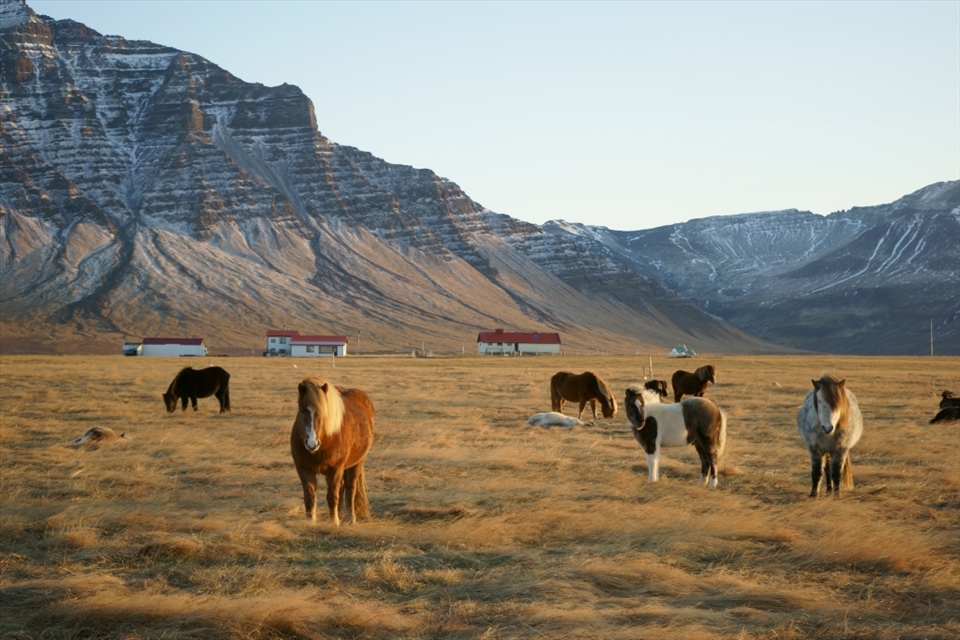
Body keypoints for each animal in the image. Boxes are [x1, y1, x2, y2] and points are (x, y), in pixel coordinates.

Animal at [290, 377, 375, 525]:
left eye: (323, 412)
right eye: (302, 411)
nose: (312, 443)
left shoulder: (335, 470)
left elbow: (332, 496)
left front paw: (334, 523)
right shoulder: (304, 469)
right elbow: (310, 497)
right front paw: (311, 522)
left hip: (357, 463)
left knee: (350, 489)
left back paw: (350, 518)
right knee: (341, 488)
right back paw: (340, 515)